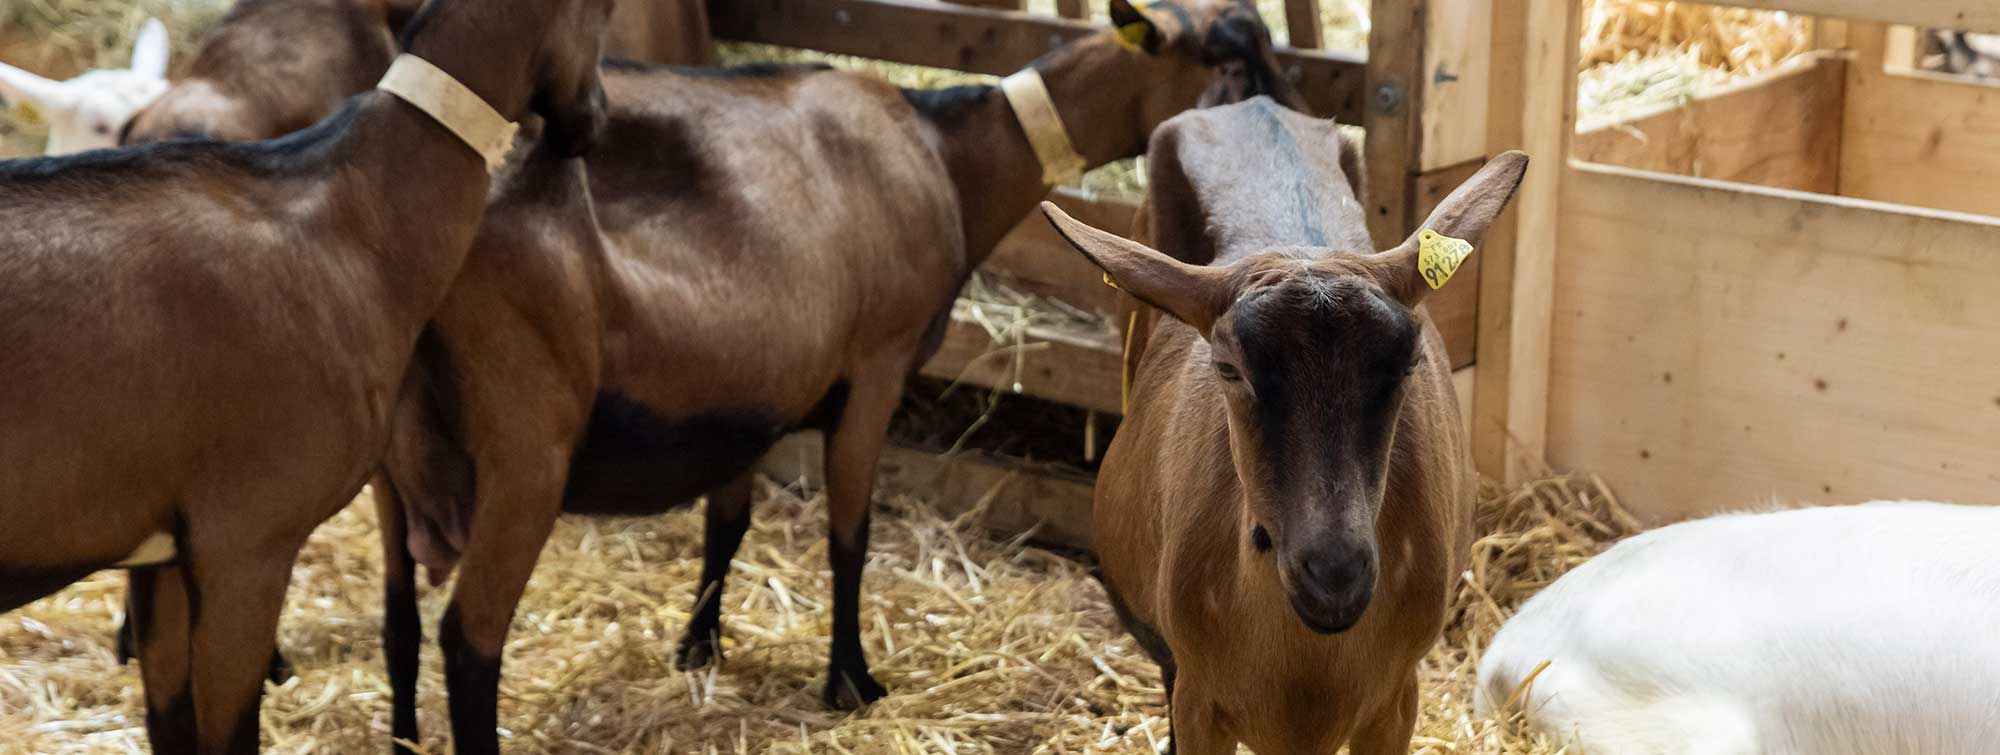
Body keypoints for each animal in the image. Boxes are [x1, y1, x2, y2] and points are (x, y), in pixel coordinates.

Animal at [376, 0, 1304, 747]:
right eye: (1225, 64)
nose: (1283, 132)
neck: (949, 157)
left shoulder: (750, 390)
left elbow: (727, 525)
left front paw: (699, 648)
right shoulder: (874, 369)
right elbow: (849, 536)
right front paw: (851, 681)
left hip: (391, 454)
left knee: (398, 619)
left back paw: (403, 739)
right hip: (527, 441)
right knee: (469, 636)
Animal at [1040, 97, 1520, 751]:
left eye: (1409, 362)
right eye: (1228, 367)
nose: (1334, 575)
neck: (1306, 668)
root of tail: (1253, 106)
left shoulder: (1397, 698)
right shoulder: (1197, 698)